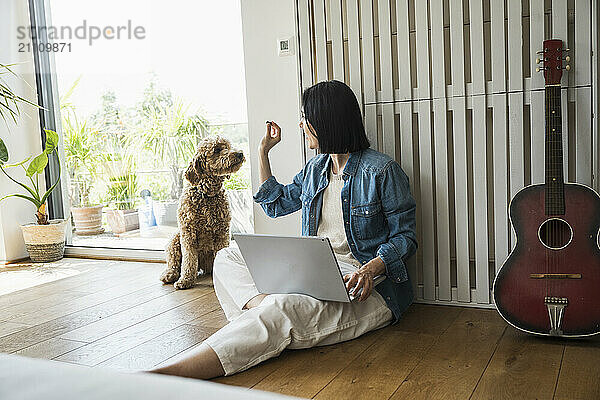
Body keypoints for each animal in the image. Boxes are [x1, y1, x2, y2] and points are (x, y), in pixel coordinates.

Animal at [159, 136, 246, 290]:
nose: (240, 154)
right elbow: (189, 259)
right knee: (174, 262)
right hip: (175, 239)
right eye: (217, 150)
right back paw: (170, 274)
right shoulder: (188, 233)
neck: (206, 194)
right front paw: (185, 280)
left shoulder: (222, 232)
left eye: (228, 146)